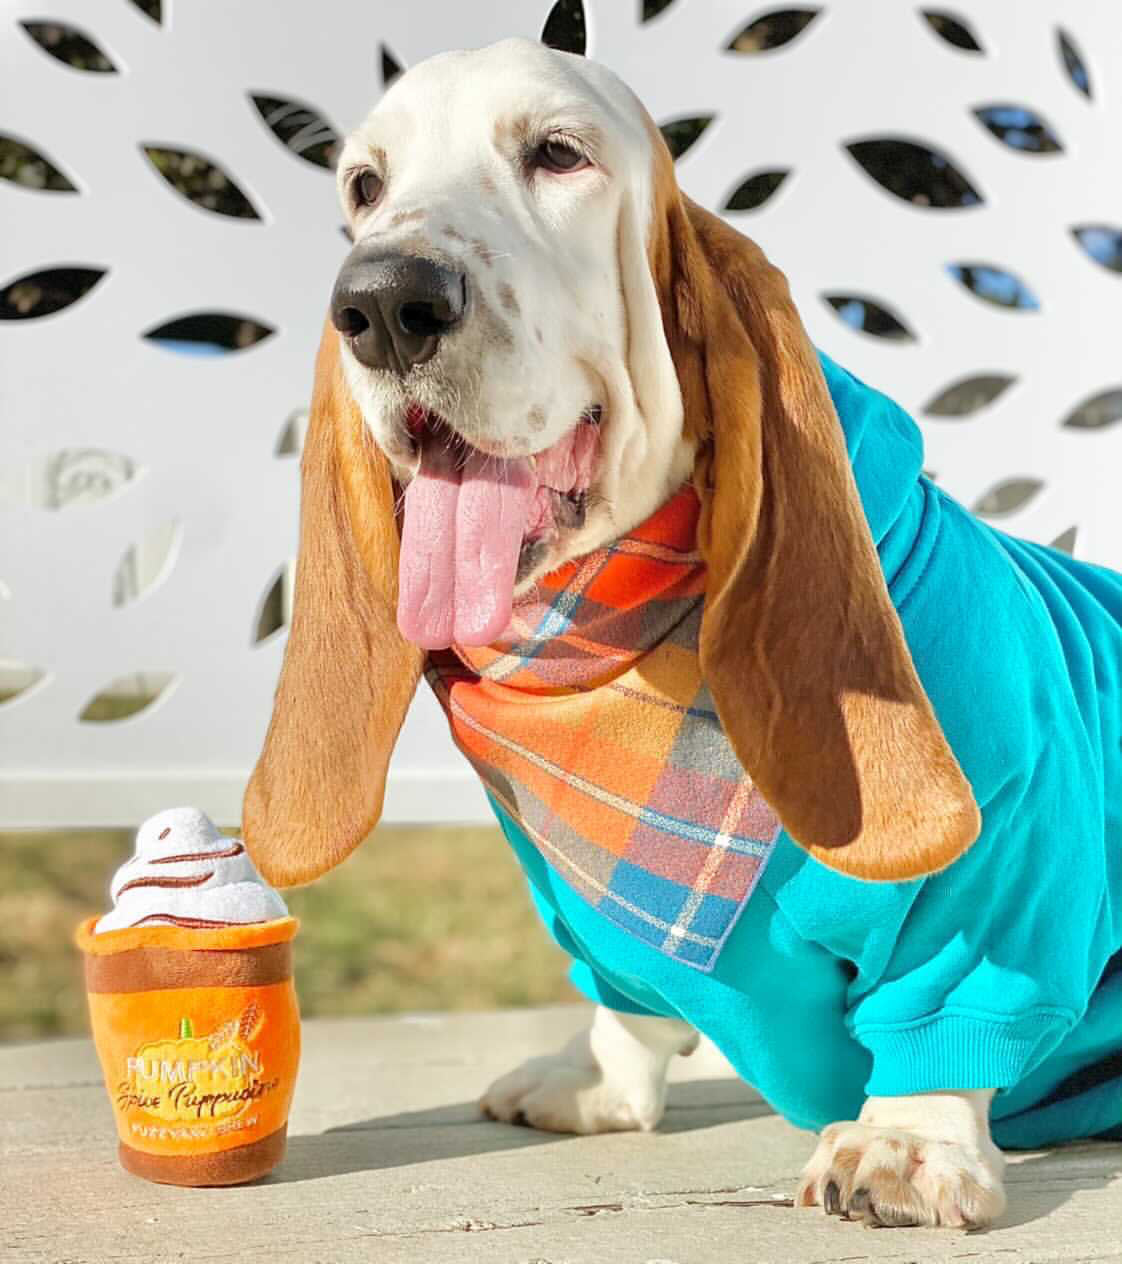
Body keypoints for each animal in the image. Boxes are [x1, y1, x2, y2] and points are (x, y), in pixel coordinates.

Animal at [243, 42, 1122, 1233]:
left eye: (558, 154)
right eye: (365, 187)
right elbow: (628, 1005)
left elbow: (945, 1010)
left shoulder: (1009, 870)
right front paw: (599, 1078)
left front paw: (905, 1141)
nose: (381, 300)